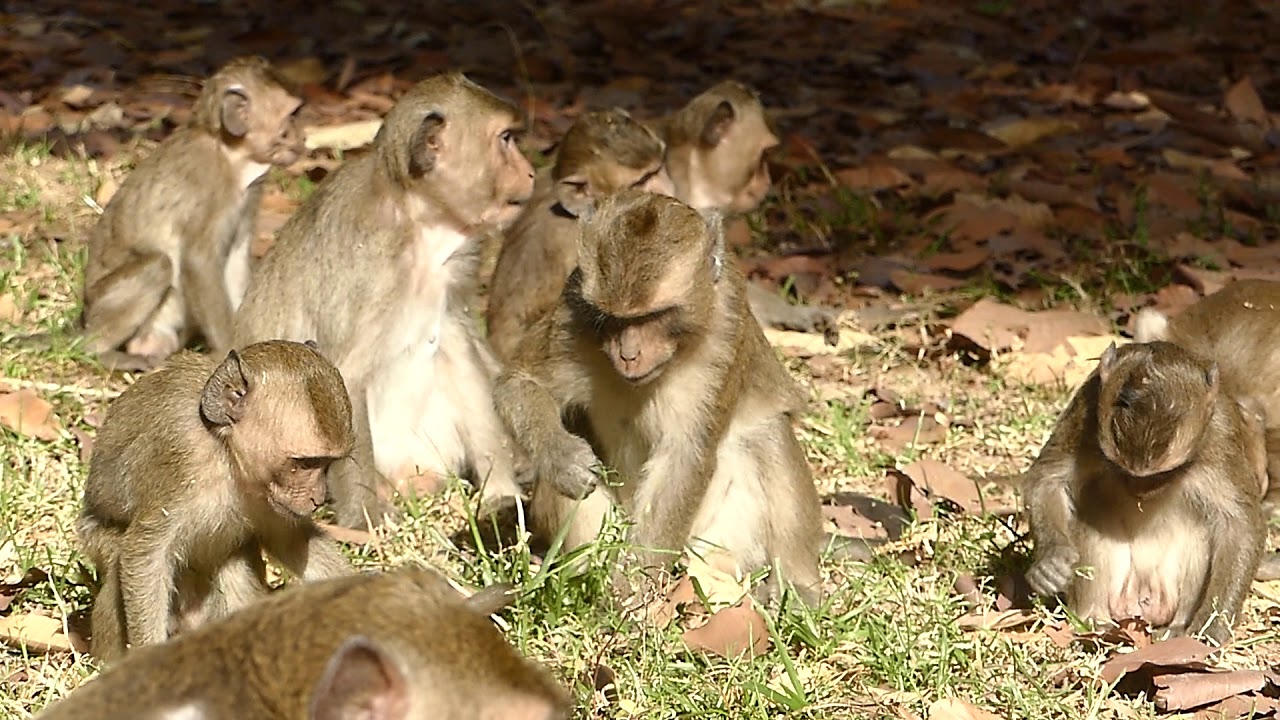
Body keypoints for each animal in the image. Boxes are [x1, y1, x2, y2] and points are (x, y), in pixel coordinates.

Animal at [78, 340, 355, 662]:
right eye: (305, 463)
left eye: (327, 463)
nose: (318, 498)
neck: (226, 452)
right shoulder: (180, 458)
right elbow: (144, 553)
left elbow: (291, 540)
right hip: (94, 537)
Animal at [79, 57, 304, 372]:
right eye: (291, 115)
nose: (302, 136)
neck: (228, 152)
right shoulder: (210, 184)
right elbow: (199, 260)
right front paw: (229, 349)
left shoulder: (249, 196)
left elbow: (235, 259)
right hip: (102, 302)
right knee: (158, 264)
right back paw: (101, 352)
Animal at [233, 72, 536, 529]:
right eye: (505, 139)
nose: (532, 171)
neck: (418, 222)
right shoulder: (369, 268)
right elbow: (343, 373)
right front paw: (364, 522)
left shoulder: (455, 268)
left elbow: (462, 350)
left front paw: (504, 491)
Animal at [494, 190, 823, 604]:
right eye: (612, 319)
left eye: (654, 316)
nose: (628, 354)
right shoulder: (572, 312)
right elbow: (518, 383)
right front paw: (562, 457)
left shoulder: (725, 334)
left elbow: (685, 456)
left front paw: (633, 588)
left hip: (719, 541)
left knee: (769, 434)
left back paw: (796, 584)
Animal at [1022, 341, 1266, 644]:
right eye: (1119, 468)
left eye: (1164, 474)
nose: (1139, 491)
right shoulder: (1084, 410)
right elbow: (1047, 480)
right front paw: (1051, 561)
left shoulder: (1220, 435)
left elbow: (1239, 524)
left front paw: (1213, 625)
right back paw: (1093, 618)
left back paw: (1177, 626)